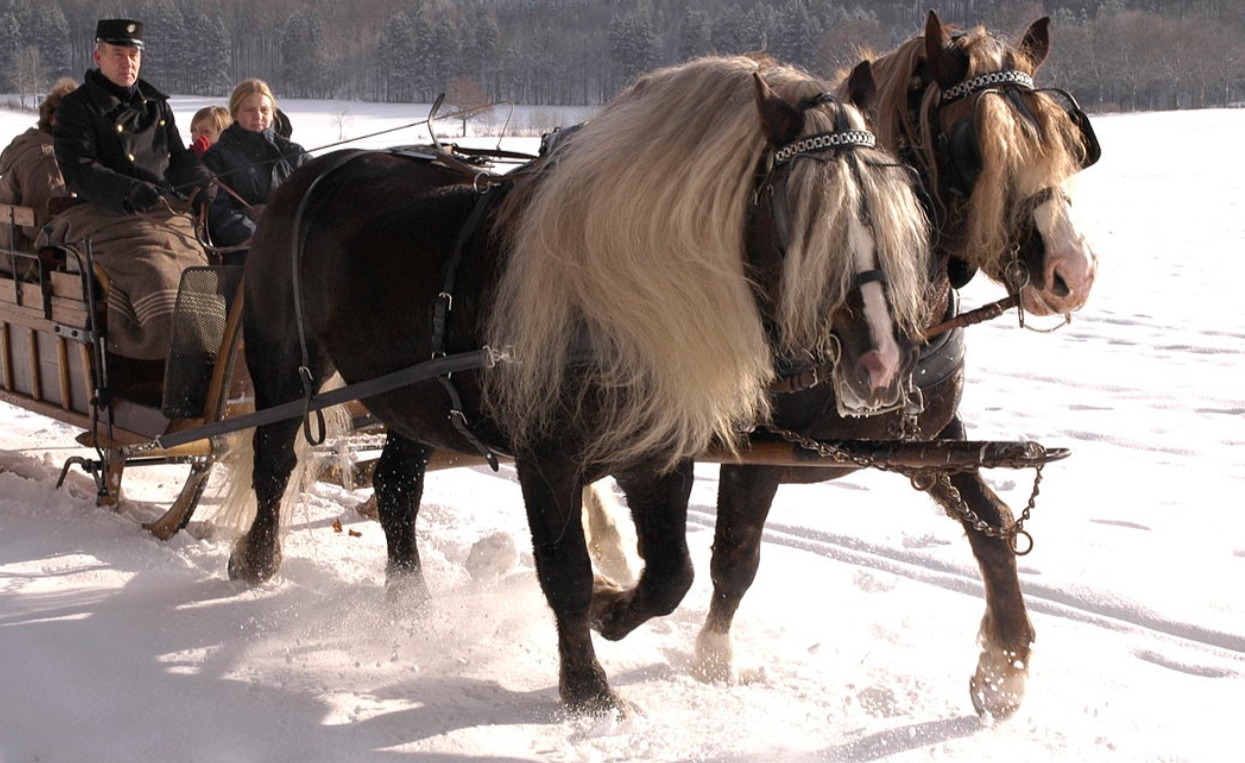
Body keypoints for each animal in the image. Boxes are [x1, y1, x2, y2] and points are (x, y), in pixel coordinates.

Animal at [224, 55, 931, 711]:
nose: (881, 365)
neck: (611, 301)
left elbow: (671, 575)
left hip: (416, 397)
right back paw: (256, 559)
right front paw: (588, 689)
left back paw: (410, 605)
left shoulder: (655, 453)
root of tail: (316, 172)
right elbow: (565, 572)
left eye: (890, 209)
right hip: (283, 360)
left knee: (397, 488)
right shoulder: (547, 460)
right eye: (803, 219)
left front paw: (610, 611)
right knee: (273, 457)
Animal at [697, 13, 1105, 721]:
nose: (1071, 272)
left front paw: (1005, 664)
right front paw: (710, 660)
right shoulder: (758, 449)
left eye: (1062, 134)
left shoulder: (928, 439)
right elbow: (737, 555)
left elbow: (994, 525)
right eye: (976, 145)